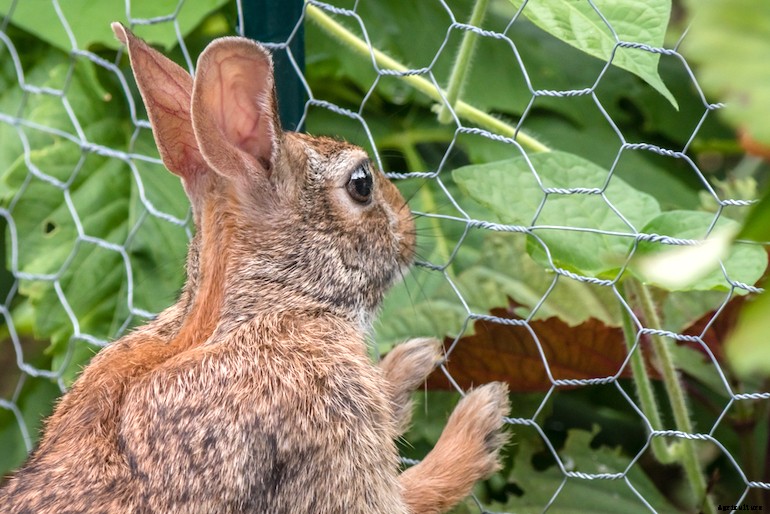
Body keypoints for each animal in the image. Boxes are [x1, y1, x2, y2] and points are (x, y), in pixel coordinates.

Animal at [0, 23, 510, 514]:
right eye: (362, 184)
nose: (408, 233)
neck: (266, 305)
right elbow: (411, 494)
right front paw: (478, 421)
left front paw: (411, 362)